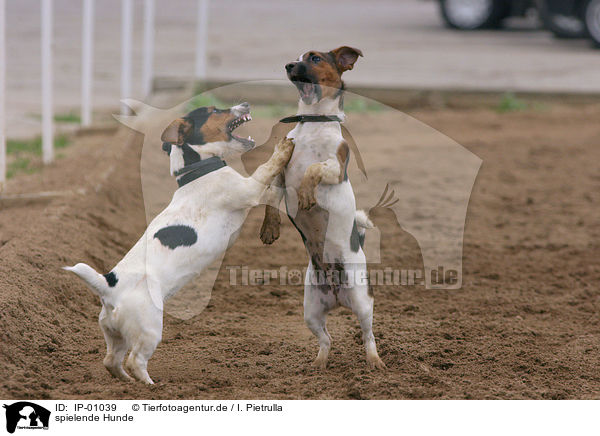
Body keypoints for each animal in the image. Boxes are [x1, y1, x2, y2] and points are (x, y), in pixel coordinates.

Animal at [65, 104, 296, 384]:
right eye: (213, 111)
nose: (245, 104)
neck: (199, 170)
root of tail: (108, 286)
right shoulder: (247, 189)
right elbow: (266, 168)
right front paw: (282, 149)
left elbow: (274, 191)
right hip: (150, 329)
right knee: (135, 360)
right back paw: (151, 386)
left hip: (115, 334)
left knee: (111, 361)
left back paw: (128, 384)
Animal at [262, 46, 384, 368]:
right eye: (297, 57)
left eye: (315, 58)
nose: (289, 65)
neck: (313, 122)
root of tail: (337, 297)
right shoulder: (280, 176)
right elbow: (271, 198)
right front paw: (270, 229)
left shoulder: (335, 167)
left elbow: (313, 168)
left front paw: (307, 194)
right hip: (311, 311)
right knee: (326, 339)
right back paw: (318, 364)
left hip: (362, 301)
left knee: (368, 335)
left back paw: (374, 361)